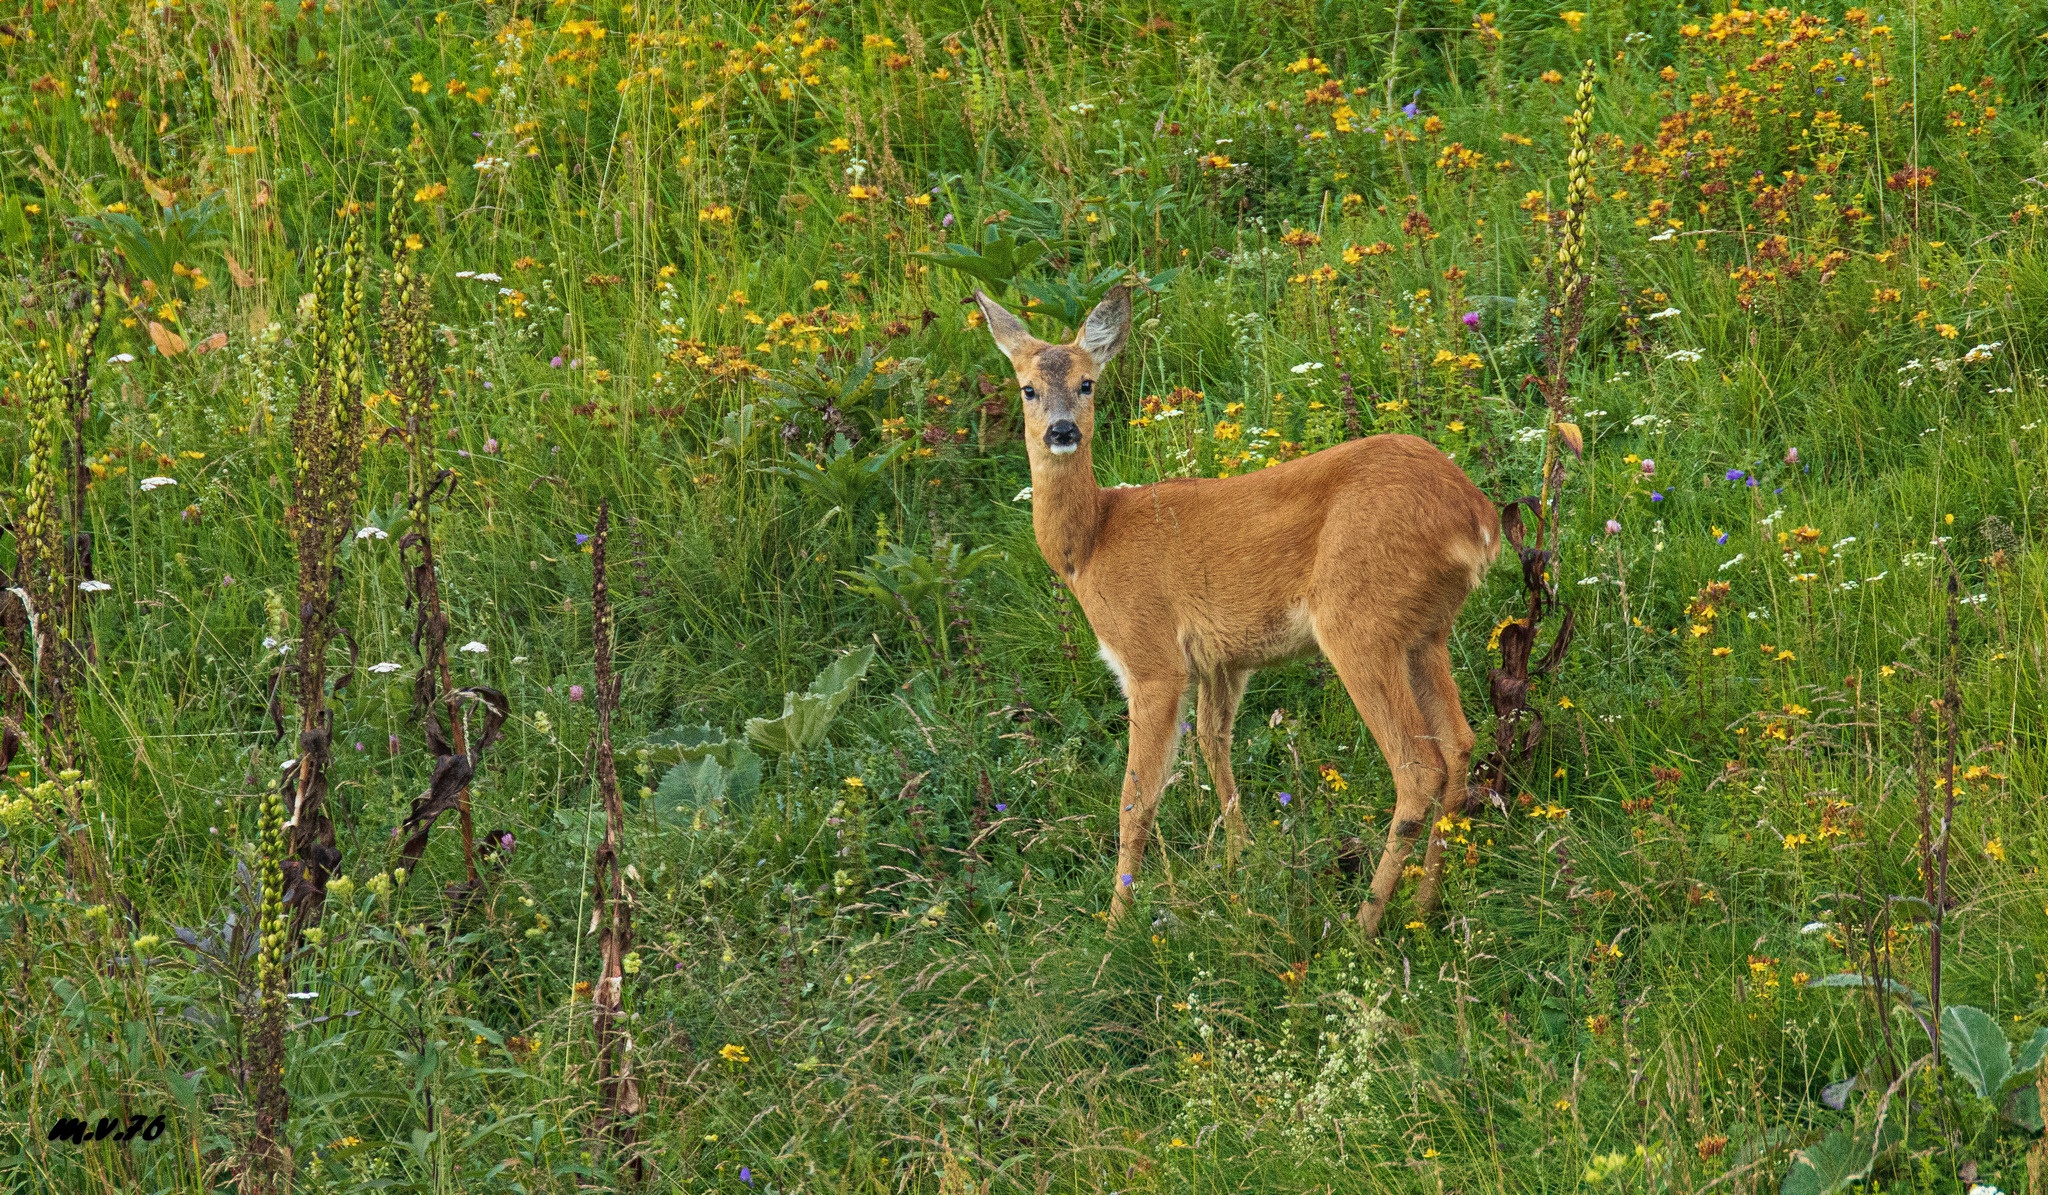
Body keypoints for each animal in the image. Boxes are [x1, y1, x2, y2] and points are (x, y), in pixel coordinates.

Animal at [974, 285, 1501, 935]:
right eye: (1027, 387)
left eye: (1087, 382)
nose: (1062, 430)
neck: (1090, 543)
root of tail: (1477, 517)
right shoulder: (1224, 662)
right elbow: (1212, 744)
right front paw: (1237, 861)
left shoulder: (1151, 658)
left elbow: (1136, 799)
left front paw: (1117, 922)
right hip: (1426, 631)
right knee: (1459, 745)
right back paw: (1424, 908)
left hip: (1358, 621)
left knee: (1418, 766)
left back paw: (1364, 924)